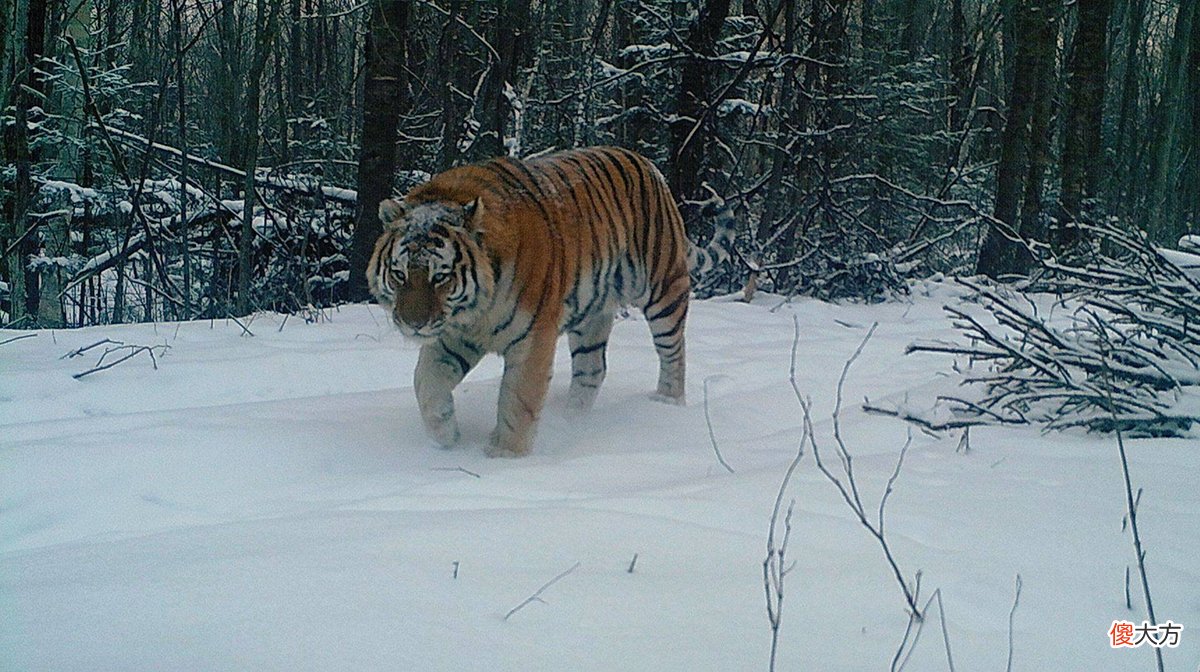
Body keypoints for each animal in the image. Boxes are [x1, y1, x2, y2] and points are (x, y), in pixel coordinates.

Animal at [367, 146, 733, 458]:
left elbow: (518, 401)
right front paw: (446, 437)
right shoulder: (454, 336)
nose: (413, 324)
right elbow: (425, 382)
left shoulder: (532, 338)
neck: (474, 312)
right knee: (592, 369)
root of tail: (647, 164)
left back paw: (667, 403)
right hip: (591, 317)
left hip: (664, 289)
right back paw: (572, 421)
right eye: (399, 274)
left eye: (440, 277)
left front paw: (503, 458)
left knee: (673, 352)